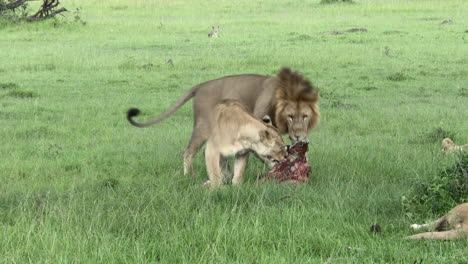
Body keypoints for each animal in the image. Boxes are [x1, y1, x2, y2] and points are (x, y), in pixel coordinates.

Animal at [126, 67, 320, 176]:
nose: (299, 135)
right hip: (203, 126)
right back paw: (189, 176)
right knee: (188, 152)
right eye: (290, 116)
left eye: (305, 116)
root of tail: (200, 86)